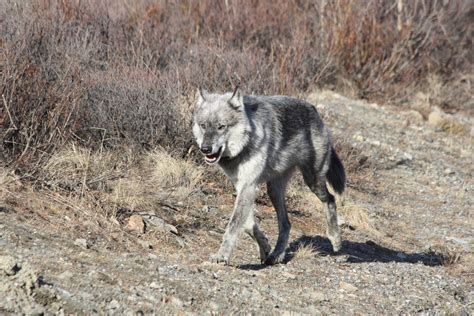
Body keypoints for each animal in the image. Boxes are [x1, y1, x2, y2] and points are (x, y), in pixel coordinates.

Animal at [192, 86, 344, 264]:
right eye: (203, 125)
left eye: (221, 126)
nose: (205, 149)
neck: (246, 143)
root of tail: (315, 111)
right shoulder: (242, 186)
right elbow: (247, 224)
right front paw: (264, 246)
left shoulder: (249, 186)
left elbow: (234, 225)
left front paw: (222, 255)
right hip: (274, 190)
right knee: (286, 224)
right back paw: (276, 255)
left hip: (313, 180)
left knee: (331, 199)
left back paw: (335, 241)